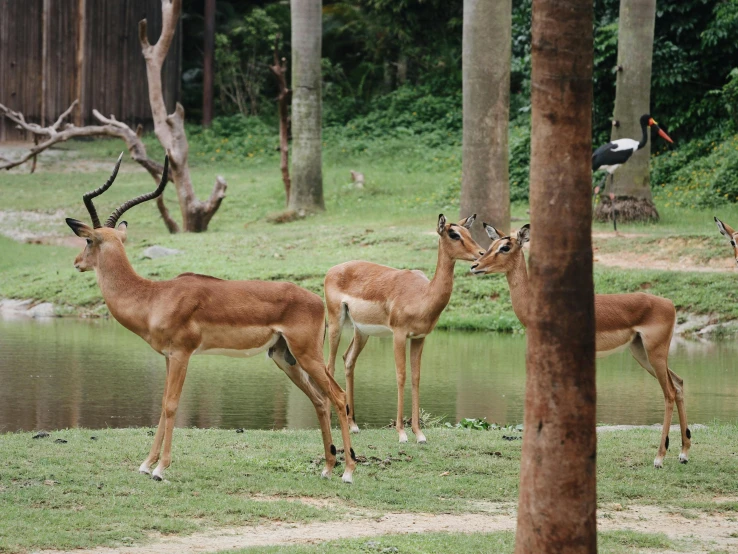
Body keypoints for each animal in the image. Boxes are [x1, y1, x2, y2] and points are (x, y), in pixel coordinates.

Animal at [63, 153, 356, 480]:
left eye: (88, 241)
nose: (76, 262)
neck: (153, 297)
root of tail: (317, 300)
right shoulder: (168, 357)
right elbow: (162, 404)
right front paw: (146, 464)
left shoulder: (182, 354)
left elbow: (172, 404)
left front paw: (160, 469)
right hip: (285, 358)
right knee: (320, 400)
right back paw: (328, 468)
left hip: (307, 355)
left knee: (338, 397)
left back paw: (348, 472)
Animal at [324, 213, 484, 442]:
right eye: (454, 234)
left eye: (468, 232)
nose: (481, 254)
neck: (422, 295)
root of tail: (331, 270)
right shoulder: (398, 335)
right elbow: (401, 376)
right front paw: (401, 433)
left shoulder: (419, 337)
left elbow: (416, 378)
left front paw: (419, 434)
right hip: (335, 322)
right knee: (330, 366)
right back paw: (330, 421)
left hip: (361, 331)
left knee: (348, 360)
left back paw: (353, 425)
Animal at [472, 221, 688, 466]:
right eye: (491, 245)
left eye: (505, 247)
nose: (475, 265)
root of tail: (670, 304)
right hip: (641, 353)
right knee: (679, 383)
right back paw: (683, 454)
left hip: (655, 353)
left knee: (669, 392)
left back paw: (659, 458)